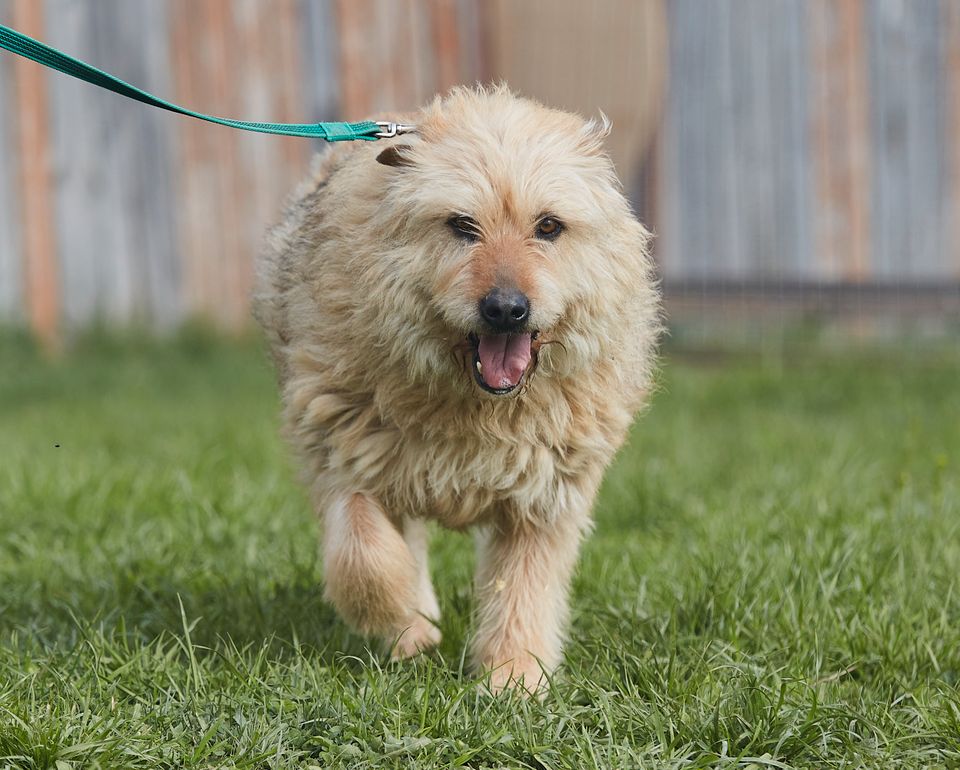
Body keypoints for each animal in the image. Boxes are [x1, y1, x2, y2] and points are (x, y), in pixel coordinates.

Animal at [253, 84, 660, 688]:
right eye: (462, 226)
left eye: (548, 227)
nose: (507, 309)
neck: (476, 405)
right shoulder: (341, 452)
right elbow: (363, 554)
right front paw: (404, 620)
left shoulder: (546, 494)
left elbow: (523, 586)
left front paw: (514, 676)